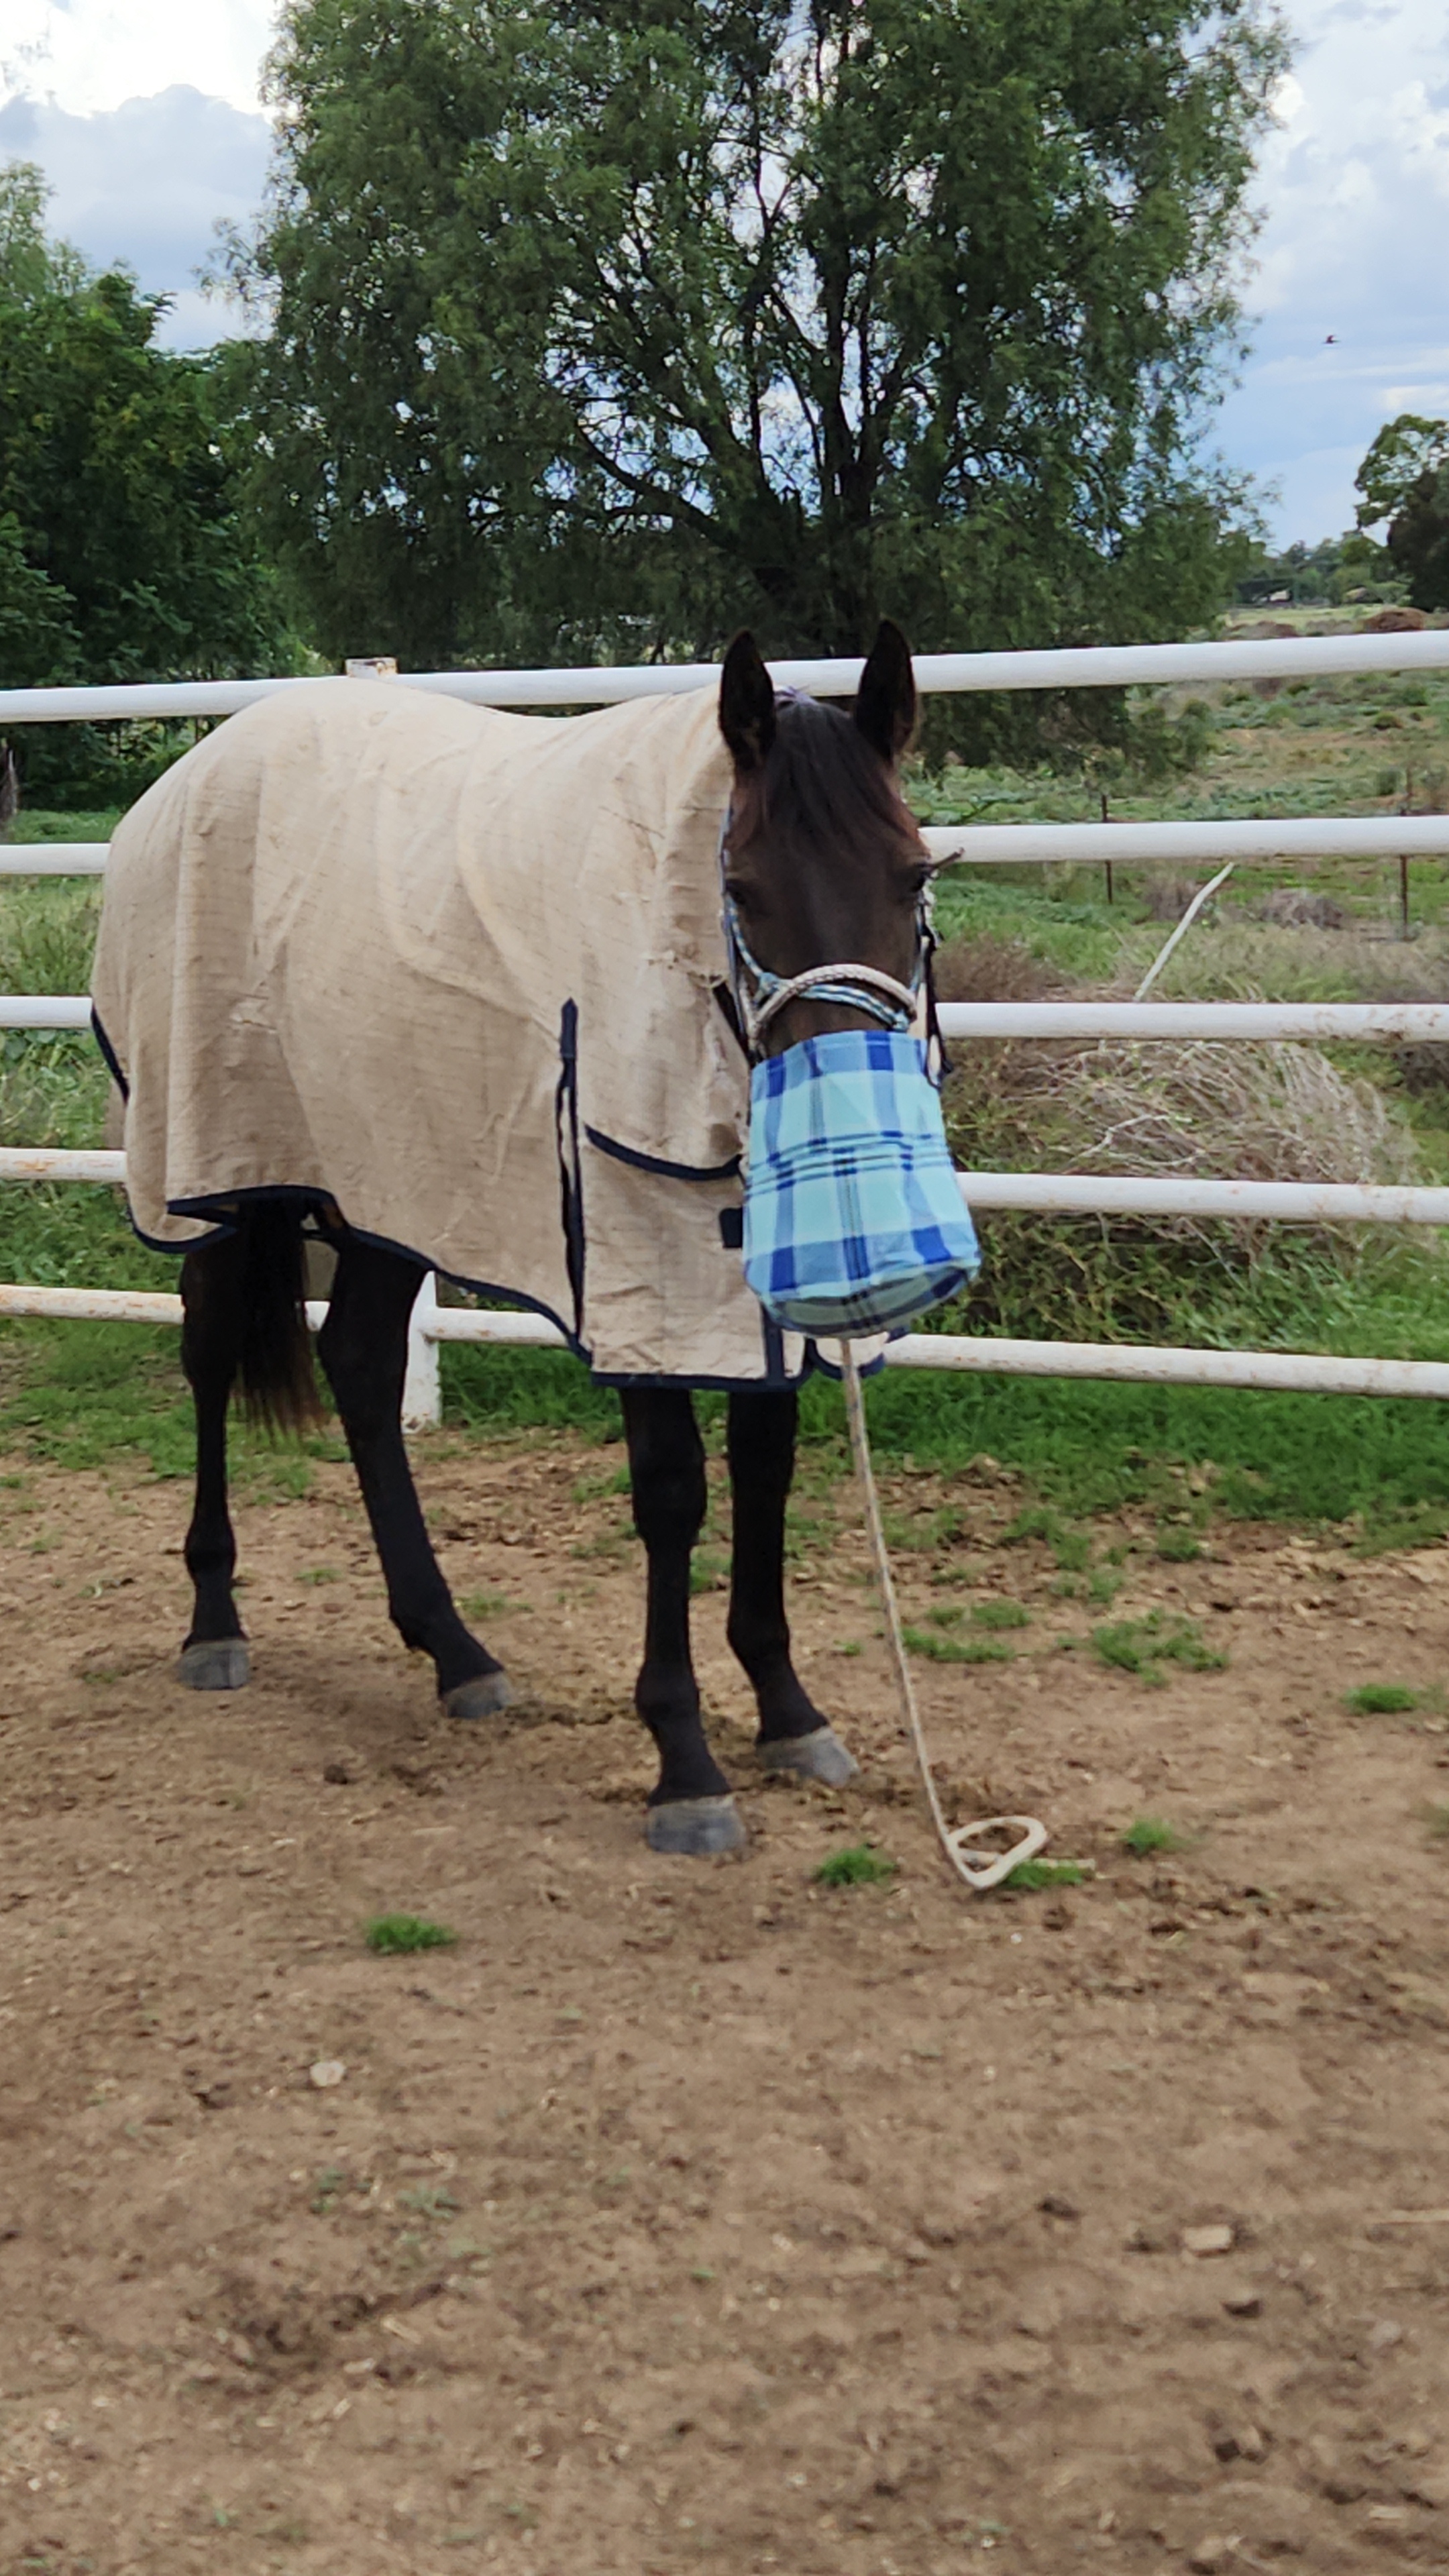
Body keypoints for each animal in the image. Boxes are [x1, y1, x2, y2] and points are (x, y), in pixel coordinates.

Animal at [91, 623, 934, 1857]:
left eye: (915, 873)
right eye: (739, 886)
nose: (843, 1107)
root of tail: (189, 776)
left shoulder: (734, 1275)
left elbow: (765, 1465)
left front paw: (788, 1714)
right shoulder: (634, 1256)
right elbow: (673, 1489)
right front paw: (685, 1767)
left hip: (391, 1178)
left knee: (360, 1362)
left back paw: (456, 1655)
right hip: (214, 1165)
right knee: (207, 1356)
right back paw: (214, 1623)